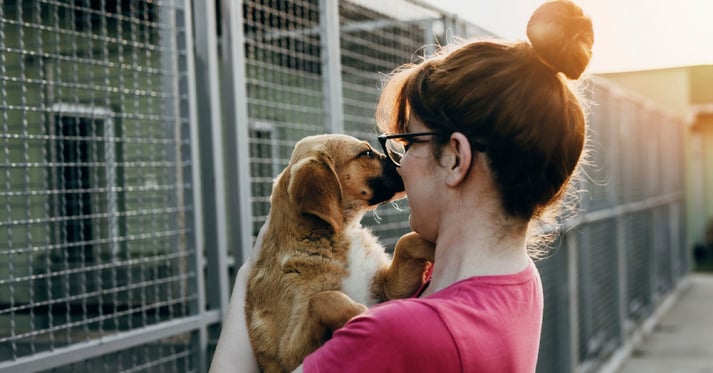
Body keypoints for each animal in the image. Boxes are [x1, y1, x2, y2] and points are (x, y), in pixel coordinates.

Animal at [248, 134, 432, 372]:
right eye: (367, 153)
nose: (405, 158)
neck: (340, 236)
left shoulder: (386, 289)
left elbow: (406, 242)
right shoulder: (288, 354)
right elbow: (325, 298)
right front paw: (362, 313)